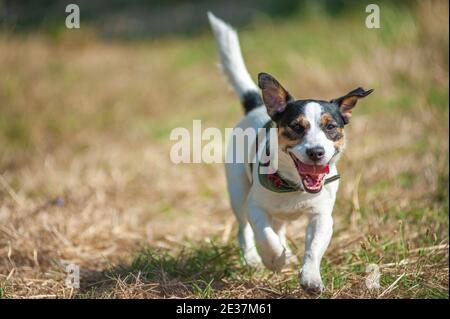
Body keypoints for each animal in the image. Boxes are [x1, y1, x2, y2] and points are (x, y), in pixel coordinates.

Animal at [207, 12, 372, 294]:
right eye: (296, 127)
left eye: (331, 127)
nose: (316, 152)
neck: (293, 185)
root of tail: (256, 104)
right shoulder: (255, 207)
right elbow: (265, 236)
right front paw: (275, 259)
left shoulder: (322, 216)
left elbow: (313, 247)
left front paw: (311, 278)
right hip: (238, 191)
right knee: (245, 230)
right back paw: (254, 258)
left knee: (279, 227)